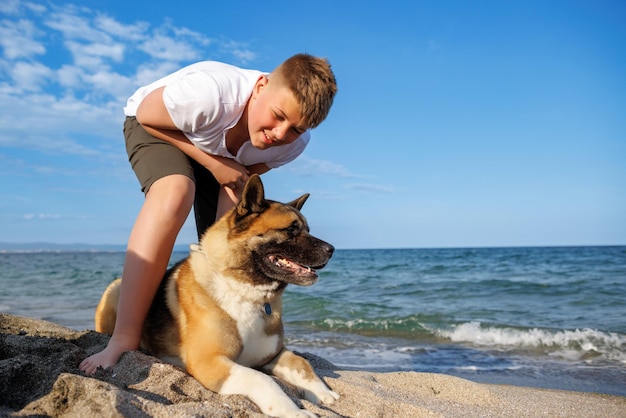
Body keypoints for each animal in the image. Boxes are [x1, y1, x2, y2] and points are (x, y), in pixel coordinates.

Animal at [94, 174, 336, 418]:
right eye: (290, 230)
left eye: (307, 229)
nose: (332, 250)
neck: (245, 292)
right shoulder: (210, 362)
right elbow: (263, 380)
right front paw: (293, 411)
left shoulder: (273, 355)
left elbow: (302, 363)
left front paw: (323, 392)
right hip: (116, 289)